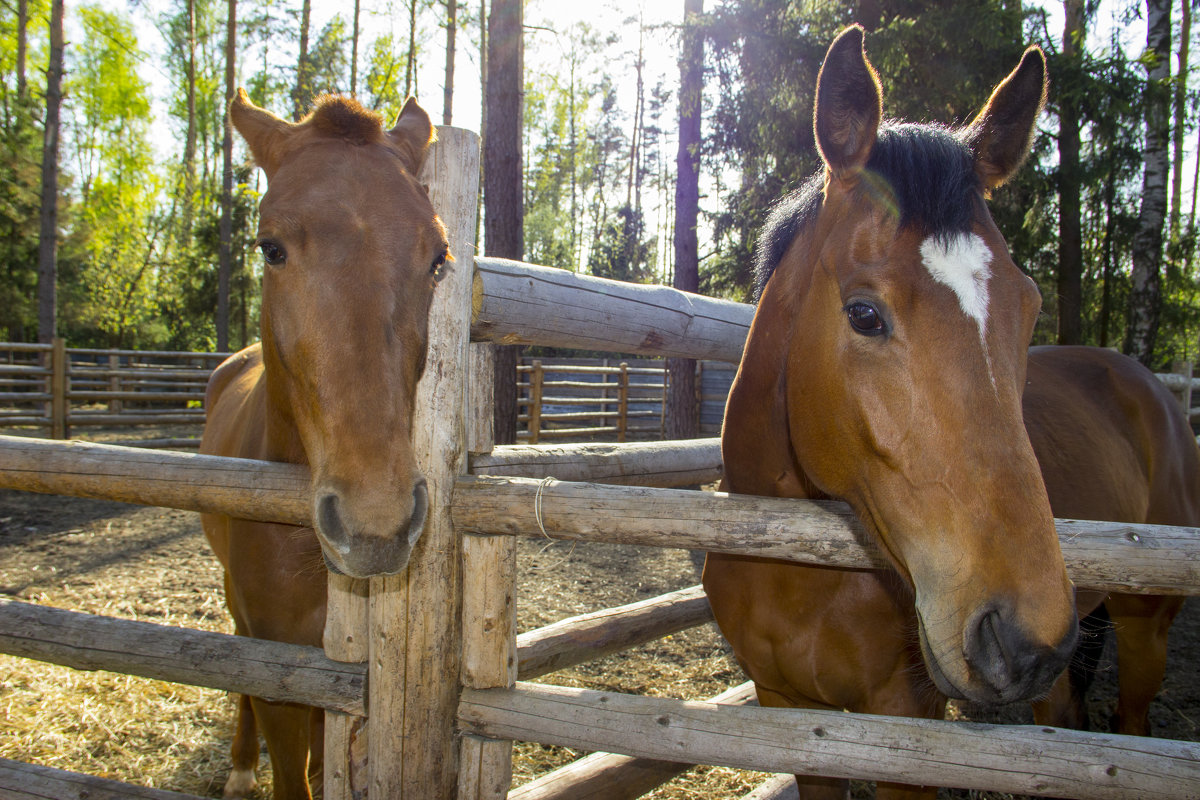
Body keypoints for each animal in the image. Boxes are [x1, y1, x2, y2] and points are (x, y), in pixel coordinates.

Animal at [201, 90, 451, 796]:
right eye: (270, 248)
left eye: (437, 260)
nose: (376, 525)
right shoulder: (281, 674)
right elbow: (293, 771)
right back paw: (239, 765)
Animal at [700, 26, 1200, 800]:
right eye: (864, 314)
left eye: (1029, 308)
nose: (1022, 637)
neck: (802, 572)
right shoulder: (791, 713)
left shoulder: (908, 724)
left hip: (1145, 628)